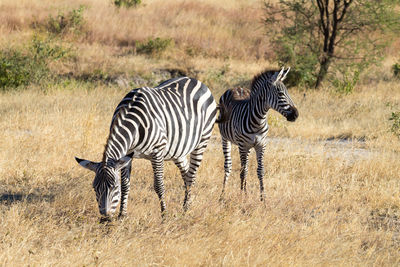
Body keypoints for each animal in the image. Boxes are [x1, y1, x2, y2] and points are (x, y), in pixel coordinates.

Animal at [76, 77, 217, 220]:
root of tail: (196, 80)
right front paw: (122, 215)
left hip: (202, 141)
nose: (105, 218)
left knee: (191, 177)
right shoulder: (128, 154)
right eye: (94, 188)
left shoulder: (157, 152)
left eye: (114, 187)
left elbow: (159, 185)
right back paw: (187, 204)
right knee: (187, 173)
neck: (133, 120)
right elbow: (126, 185)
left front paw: (164, 215)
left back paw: (186, 209)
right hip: (177, 149)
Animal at [217, 68, 298, 202]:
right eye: (281, 94)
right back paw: (222, 194)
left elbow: (260, 170)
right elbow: (243, 171)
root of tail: (237, 87)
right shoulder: (243, 145)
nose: (296, 114)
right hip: (226, 139)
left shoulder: (261, 145)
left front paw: (262, 198)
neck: (258, 120)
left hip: (249, 146)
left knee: (245, 166)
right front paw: (242, 197)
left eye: (288, 93)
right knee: (229, 166)